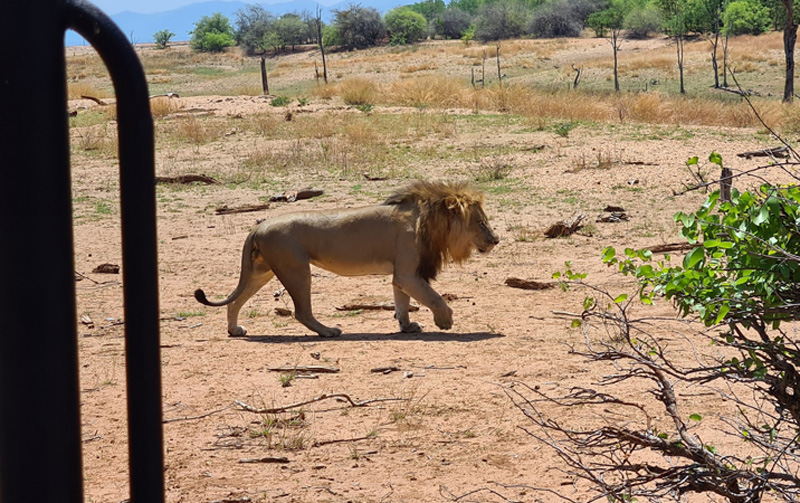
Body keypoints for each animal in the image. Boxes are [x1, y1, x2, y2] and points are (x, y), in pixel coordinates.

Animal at [195, 181, 500, 338]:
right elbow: (434, 297)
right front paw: (445, 321)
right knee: (301, 311)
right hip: (296, 269)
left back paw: (235, 329)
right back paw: (328, 331)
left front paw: (407, 326)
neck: (428, 220)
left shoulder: (402, 275)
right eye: (481, 222)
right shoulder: (408, 273)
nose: (496, 239)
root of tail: (258, 226)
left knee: (235, 300)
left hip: (262, 270)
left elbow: (402, 301)